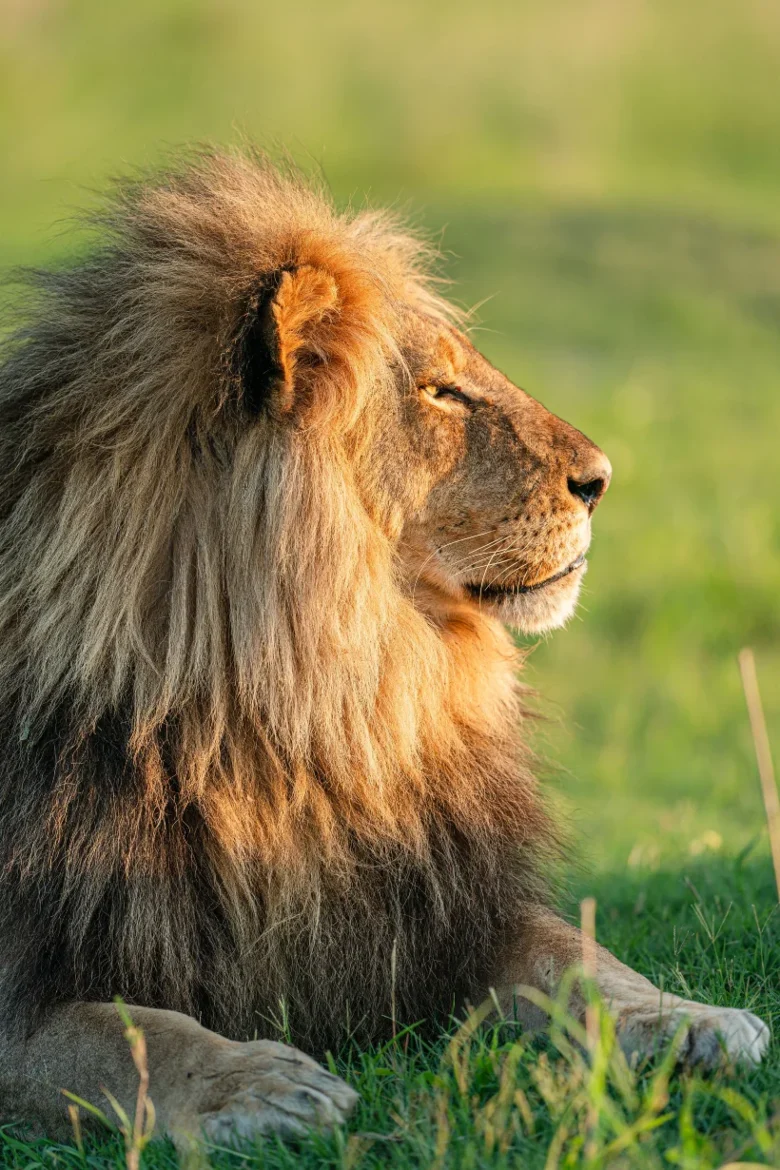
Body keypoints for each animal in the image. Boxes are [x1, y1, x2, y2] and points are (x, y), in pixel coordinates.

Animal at [0, 150, 767, 1143]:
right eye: (443, 390)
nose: (602, 479)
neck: (310, 714)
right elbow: (127, 1033)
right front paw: (257, 1084)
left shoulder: (442, 907)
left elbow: (580, 957)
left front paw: (692, 1020)